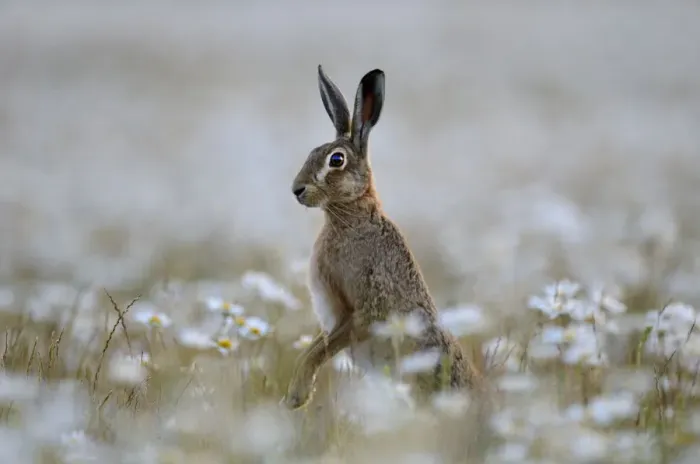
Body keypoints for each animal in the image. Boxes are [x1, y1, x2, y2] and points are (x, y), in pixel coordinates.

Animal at [284, 65, 480, 410]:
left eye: (336, 160)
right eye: (311, 153)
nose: (297, 190)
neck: (351, 217)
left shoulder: (361, 312)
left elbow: (319, 351)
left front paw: (298, 395)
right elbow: (315, 347)